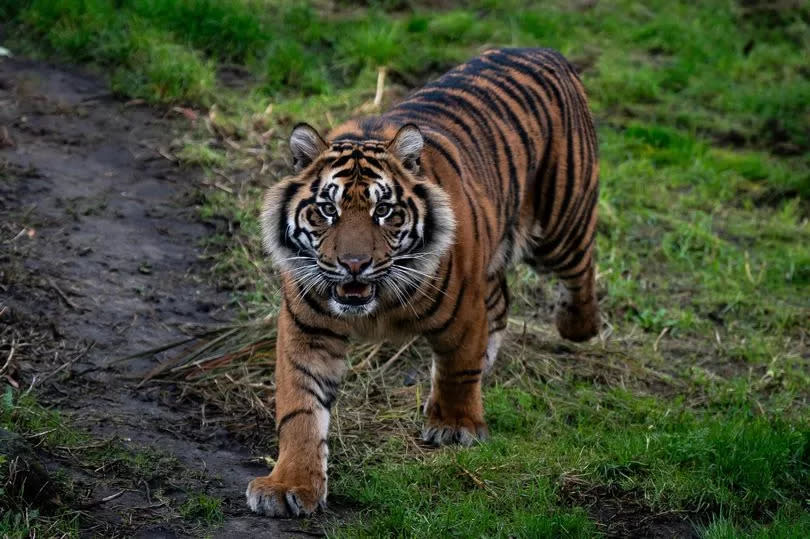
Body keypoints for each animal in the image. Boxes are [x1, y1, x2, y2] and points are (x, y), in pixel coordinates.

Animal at [246, 48, 600, 516]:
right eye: (327, 210)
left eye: (383, 211)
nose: (354, 264)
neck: (373, 304)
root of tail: (547, 51)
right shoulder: (308, 330)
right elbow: (300, 410)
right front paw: (289, 485)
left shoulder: (463, 308)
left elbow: (457, 367)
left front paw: (454, 426)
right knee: (501, 303)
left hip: (560, 225)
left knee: (580, 271)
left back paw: (577, 326)